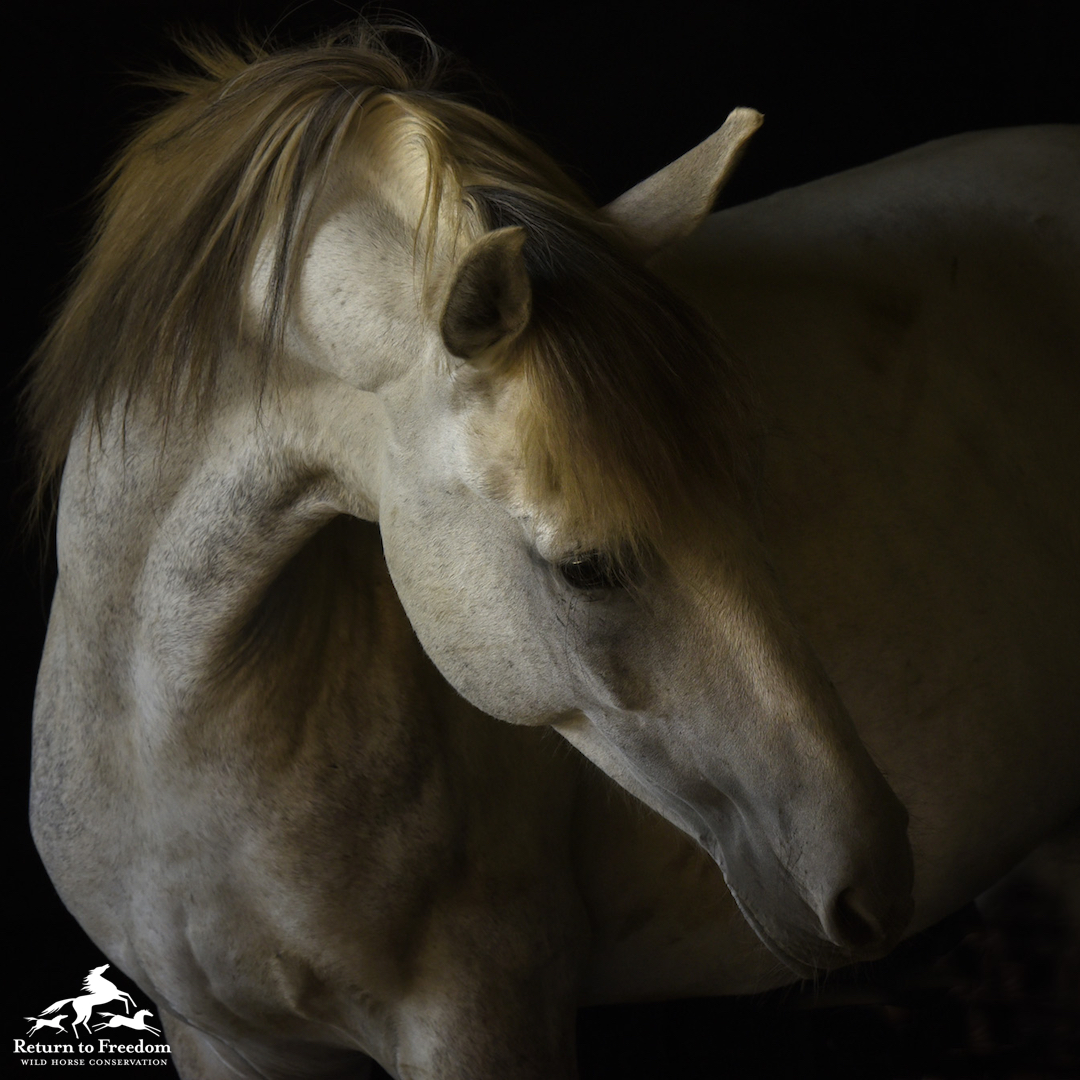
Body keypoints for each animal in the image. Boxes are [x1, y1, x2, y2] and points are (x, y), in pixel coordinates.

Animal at [27, 24, 1078, 1080]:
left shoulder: (479, 1018)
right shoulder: (227, 1043)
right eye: (585, 570)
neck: (167, 736)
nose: (877, 880)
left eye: (752, 497)